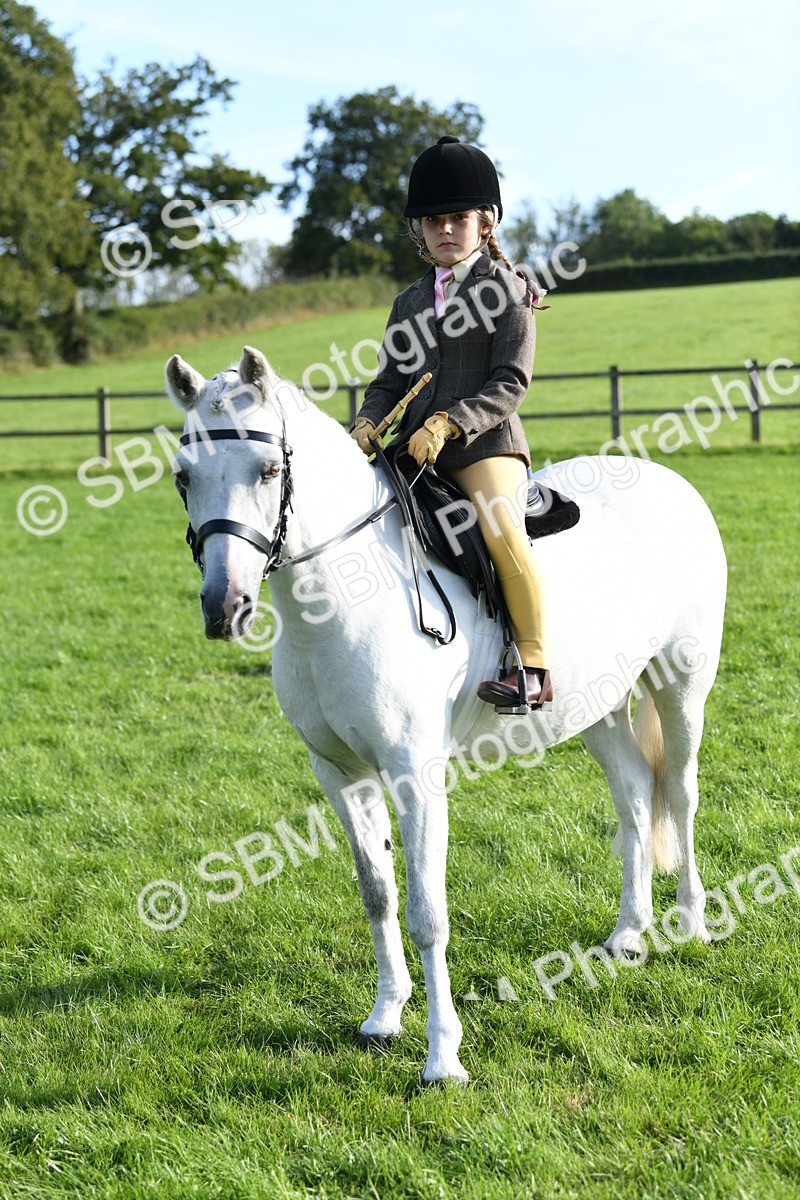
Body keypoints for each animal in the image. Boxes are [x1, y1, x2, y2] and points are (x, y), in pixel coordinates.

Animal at [165, 345, 727, 1085]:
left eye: (268, 470)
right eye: (184, 477)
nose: (224, 607)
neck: (346, 594)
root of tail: (671, 483)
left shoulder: (414, 774)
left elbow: (428, 913)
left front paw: (442, 1057)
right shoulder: (339, 772)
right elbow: (377, 892)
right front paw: (383, 1017)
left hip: (682, 680)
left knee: (680, 794)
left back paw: (691, 924)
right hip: (596, 704)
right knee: (635, 791)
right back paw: (628, 936)